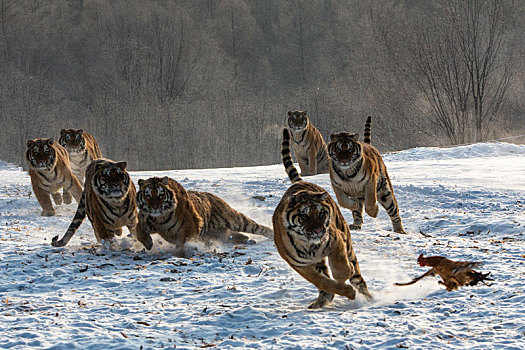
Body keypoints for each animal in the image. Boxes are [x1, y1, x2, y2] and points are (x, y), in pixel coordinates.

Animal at [135, 176, 272, 256]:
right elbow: (138, 229)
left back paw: (270, 234)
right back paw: (247, 239)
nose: (154, 208)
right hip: (218, 233)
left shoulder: (191, 225)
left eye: (160, 195)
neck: (160, 218)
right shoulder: (146, 219)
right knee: (232, 235)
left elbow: (185, 242)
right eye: (147, 195)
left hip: (234, 219)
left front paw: (184, 251)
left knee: (256, 227)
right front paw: (148, 243)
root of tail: (213, 195)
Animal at [272, 129, 370, 308]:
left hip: (347, 242)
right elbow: (322, 281)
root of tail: (299, 183)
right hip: (317, 262)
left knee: (357, 276)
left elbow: (340, 266)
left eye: (321, 214)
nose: (318, 231)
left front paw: (345, 274)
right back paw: (323, 300)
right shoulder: (300, 265)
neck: (310, 245)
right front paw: (346, 292)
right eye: (304, 215)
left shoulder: (336, 240)